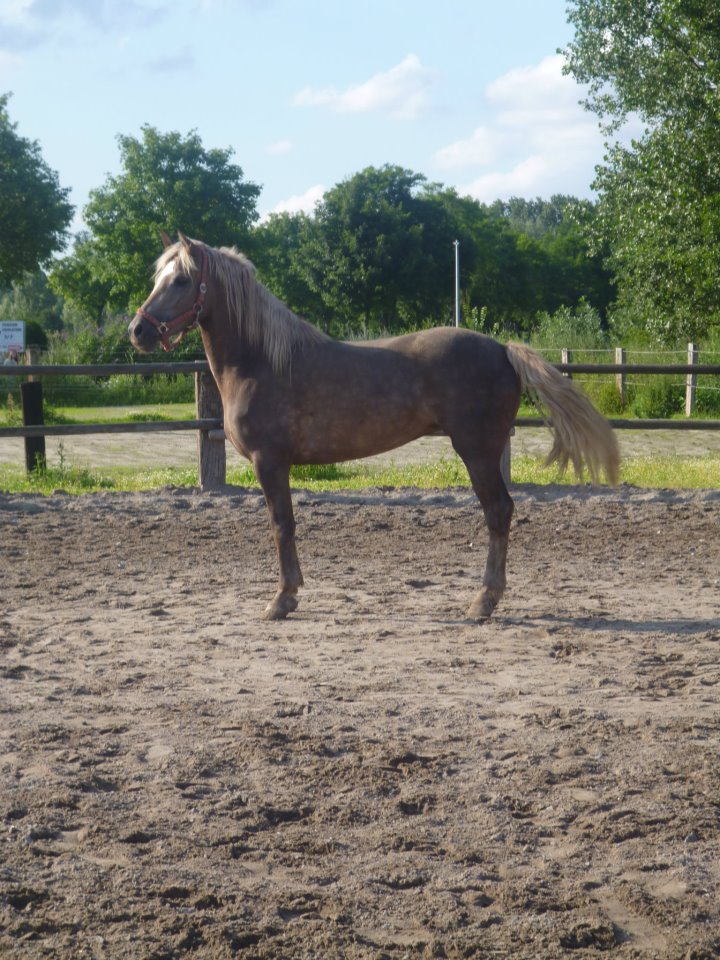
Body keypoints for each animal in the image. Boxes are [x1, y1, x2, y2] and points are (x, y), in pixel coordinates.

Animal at [128, 233, 619, 622]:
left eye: (181, 280)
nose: (138, 331)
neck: (261, 361)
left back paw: (483, 601)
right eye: (158, 278)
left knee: (498, 512)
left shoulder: (271, 463)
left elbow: (281, 525)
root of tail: (501, 348)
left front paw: (282, 600)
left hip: (478, 451)